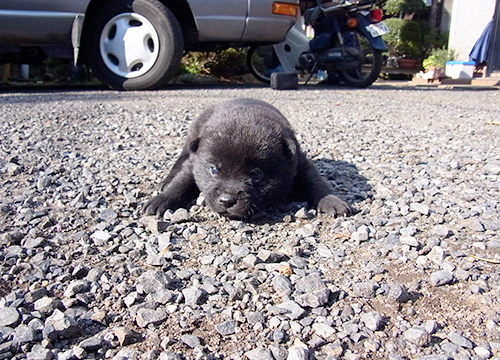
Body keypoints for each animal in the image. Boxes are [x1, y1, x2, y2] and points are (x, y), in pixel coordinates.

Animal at [142, 97, 352, 219]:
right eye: (213, 170)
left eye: (257, 174)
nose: (227, 201)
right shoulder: (194, 163)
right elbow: (181, 182)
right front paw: (161, 199)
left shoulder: (300, 165)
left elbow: (316, 183)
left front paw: (332, 201)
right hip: (190, 142)